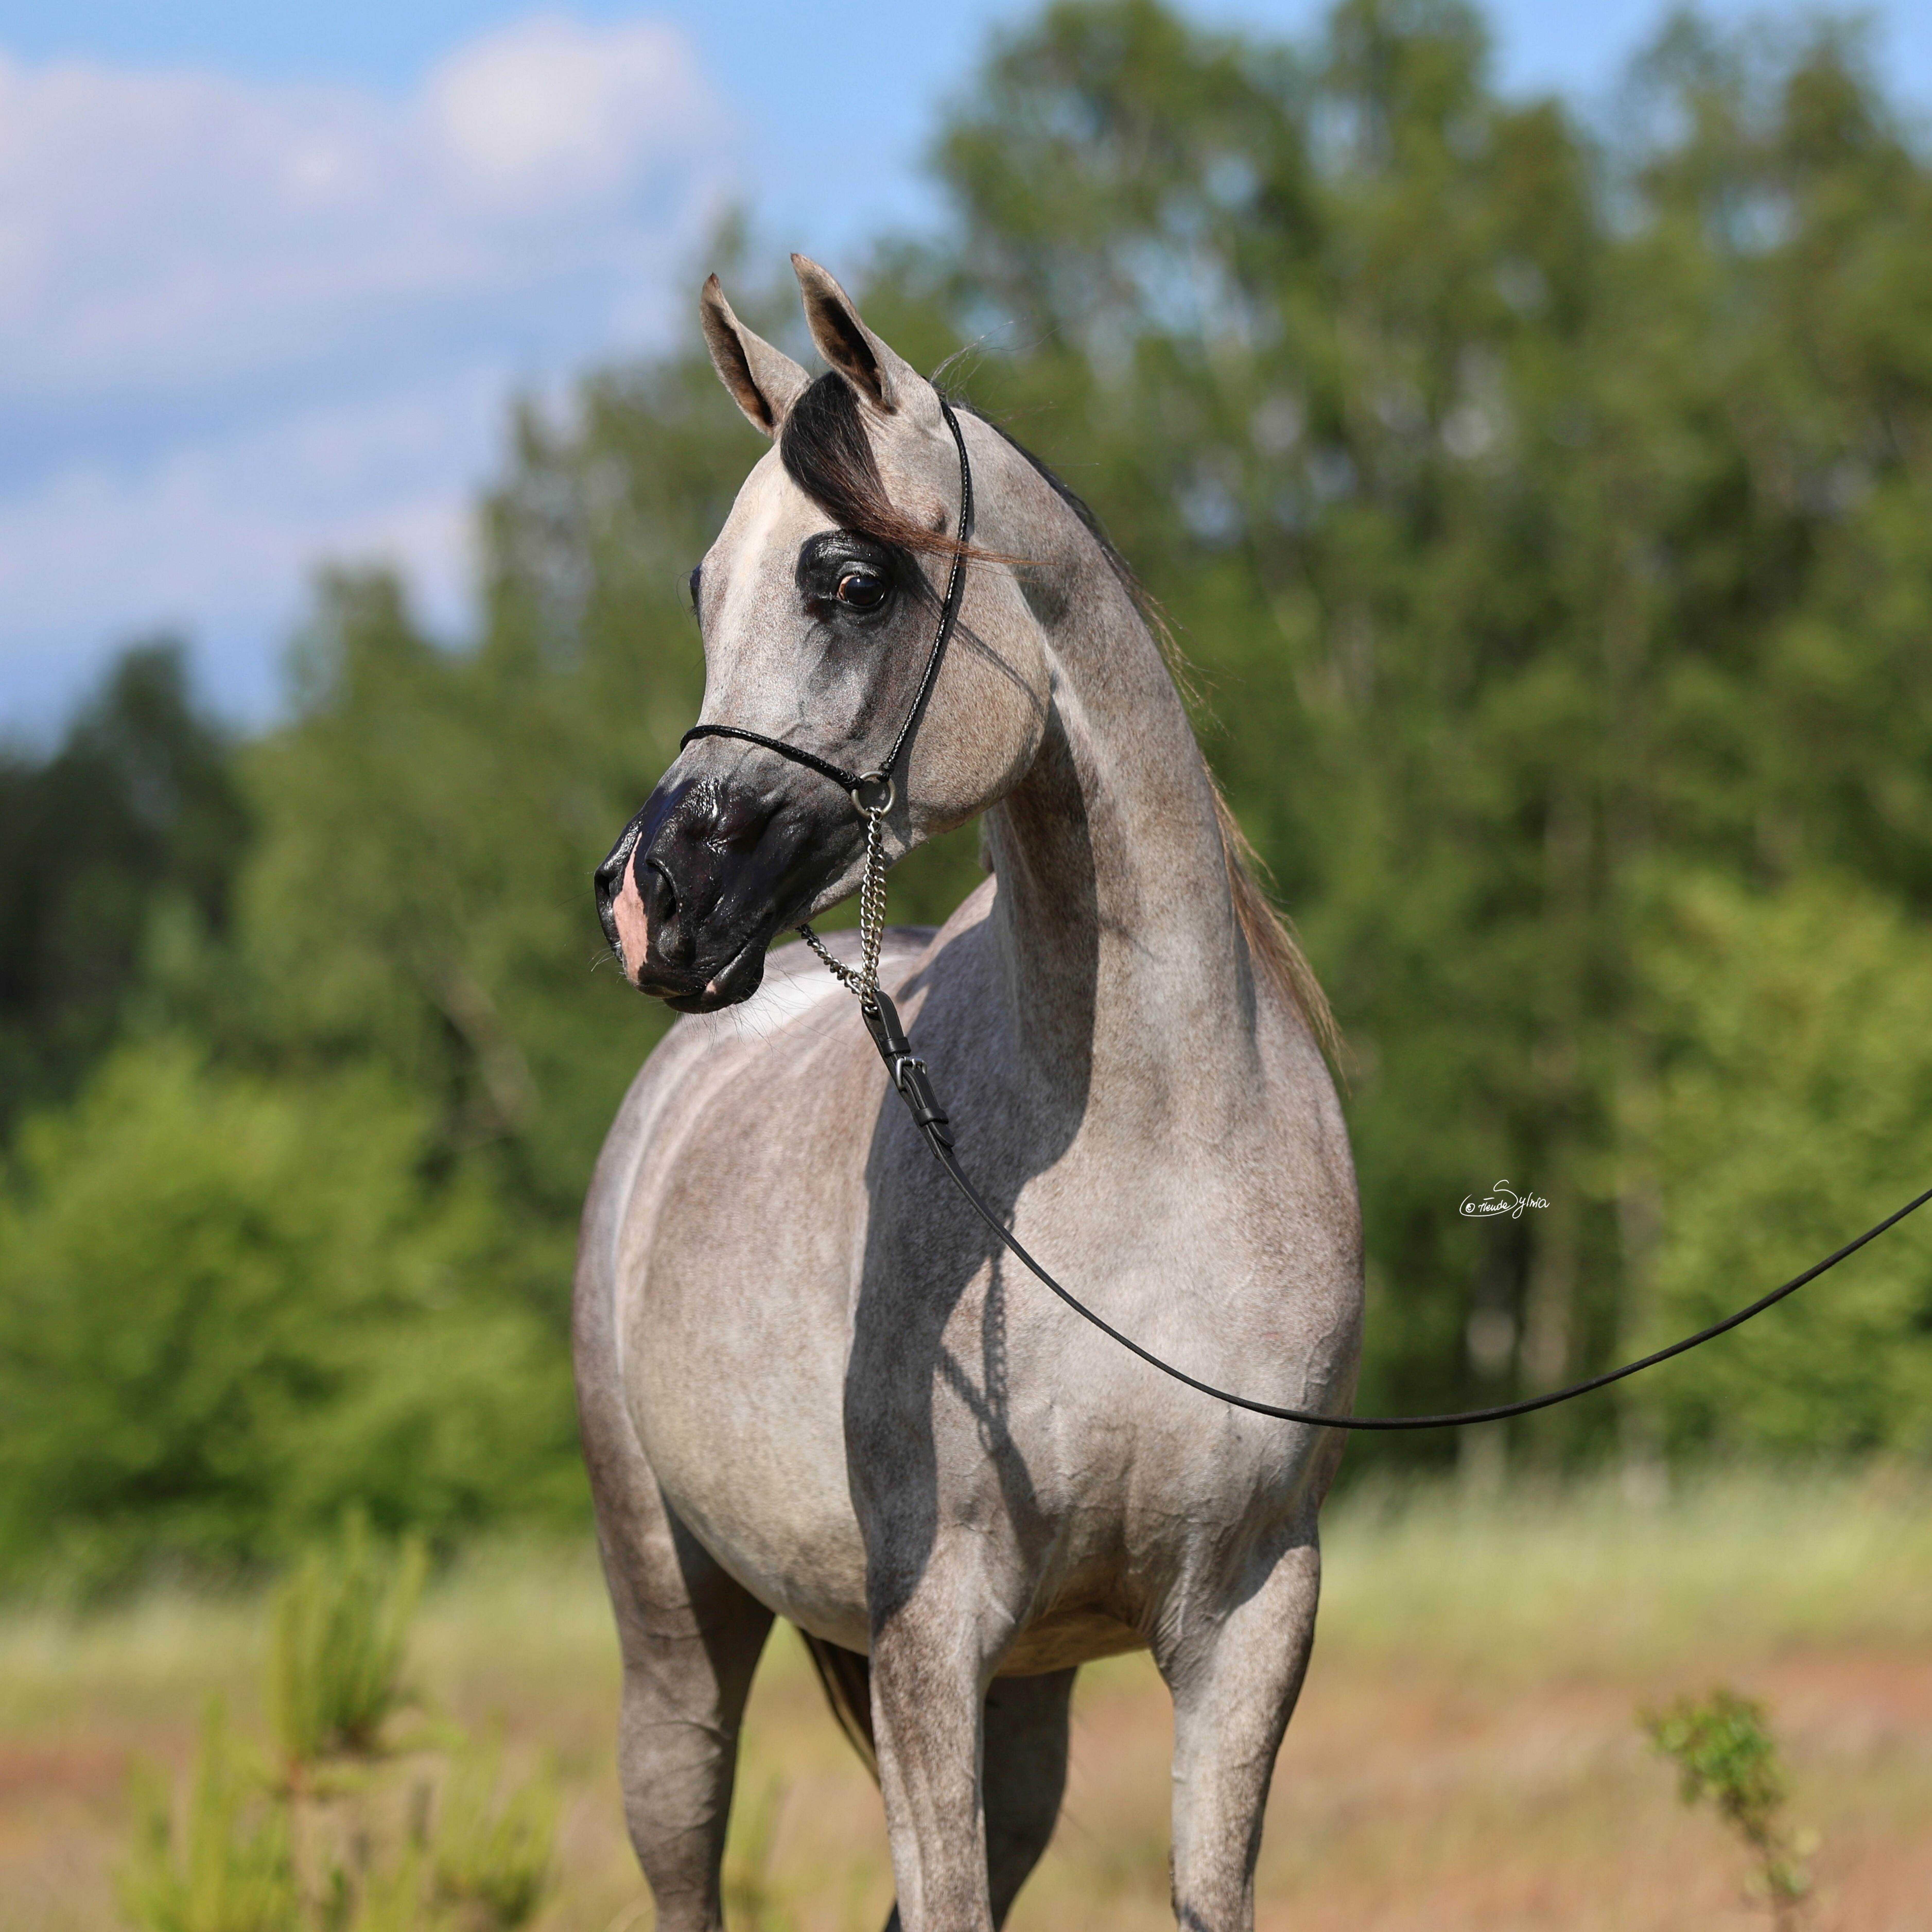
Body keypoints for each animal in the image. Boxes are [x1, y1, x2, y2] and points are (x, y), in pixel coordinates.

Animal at [576, 253, 1362, 1932]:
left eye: (851, 581)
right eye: (701, 590)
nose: (644, 901)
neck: (1155, 1151)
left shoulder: (1249, 1617)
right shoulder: (930, 1633)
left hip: (1030, 1705)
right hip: (676, 1629)